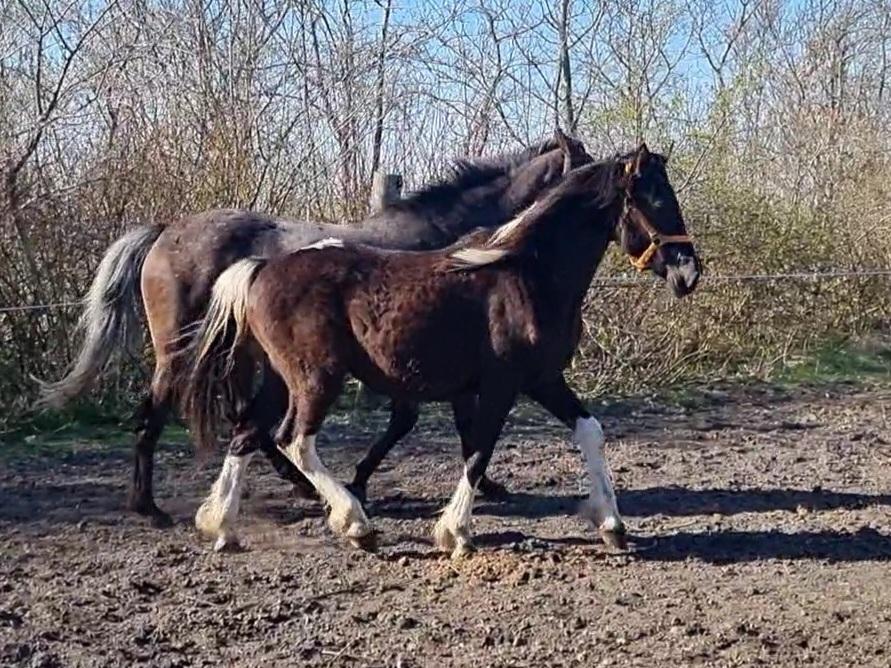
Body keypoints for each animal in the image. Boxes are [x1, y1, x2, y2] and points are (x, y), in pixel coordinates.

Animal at [36, 132, 592, 528]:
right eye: (583, 166)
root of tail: (164, 231)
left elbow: (444, 425)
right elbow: (422, 423)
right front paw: (363, 483)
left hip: (239, 356)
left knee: (246, 420)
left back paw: (294, 486)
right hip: (181, 352)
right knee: (158, 415)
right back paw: (149, 507)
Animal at [178, 145, 700, 552]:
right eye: (653, 197)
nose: (688, 272)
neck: (528, 273)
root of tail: (262, 267)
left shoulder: (542, 379)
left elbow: (589, 431)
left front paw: (611, 524)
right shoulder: (501, 384)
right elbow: (479, 449)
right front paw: (455, 532)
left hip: (281, 379)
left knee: (247, 432)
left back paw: (221, 526)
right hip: (316, 377)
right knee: (294, 440)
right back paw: (355, 524)